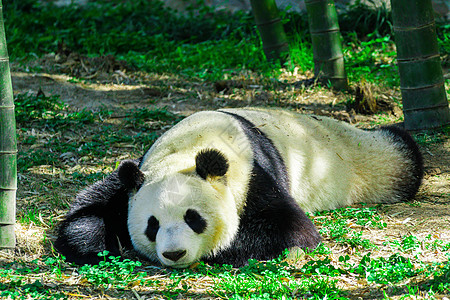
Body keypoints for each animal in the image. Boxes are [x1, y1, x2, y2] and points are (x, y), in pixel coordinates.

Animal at [54, 107, 424, 268]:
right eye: (152, 225)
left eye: (193, 218)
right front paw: (103, 243)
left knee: (394, 155)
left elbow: (290, 228)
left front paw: (224, 248)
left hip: (353, 159)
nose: (174, 254)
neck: (188, 149)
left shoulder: (250, 176)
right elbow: (89, 209)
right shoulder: (139, 173)